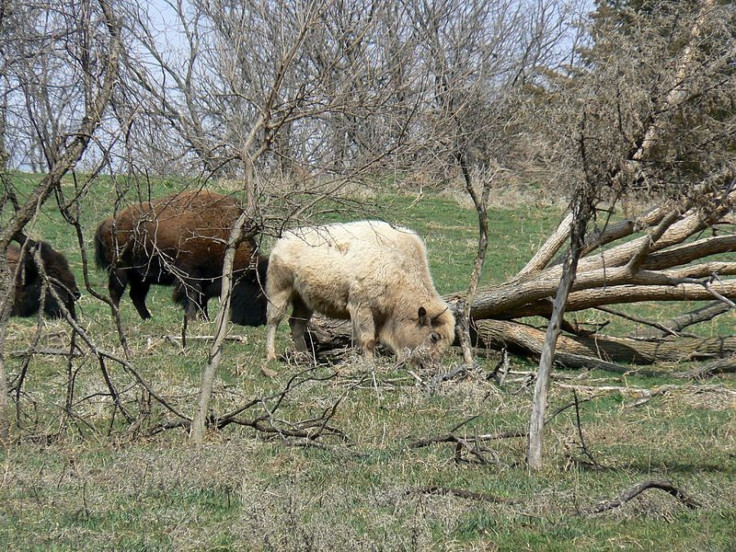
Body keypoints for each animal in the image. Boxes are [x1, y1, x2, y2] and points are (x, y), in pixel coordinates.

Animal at [94, 190, 268, 324]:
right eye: (259, 291)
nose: (262, 320)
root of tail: (111, 222)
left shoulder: (205, 279)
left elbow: (202, 299)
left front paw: (204, 319)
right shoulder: (190, 274)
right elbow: (192, 295)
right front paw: (191, 319)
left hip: (141, 277)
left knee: (136, 296)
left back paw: (148, 318)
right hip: (120, 270)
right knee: (115, 293)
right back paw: (117, 318)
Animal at [264, 220, 454, 362]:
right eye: (434, 337)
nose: (431, 363)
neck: (399, 265)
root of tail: (283, 240)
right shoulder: (362, 308)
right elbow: (368, 340)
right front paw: (370, 365)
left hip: (304, 302)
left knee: (296, 325)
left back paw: (307, 358)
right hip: (279, 291)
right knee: (273, 321)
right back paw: (271, 356)